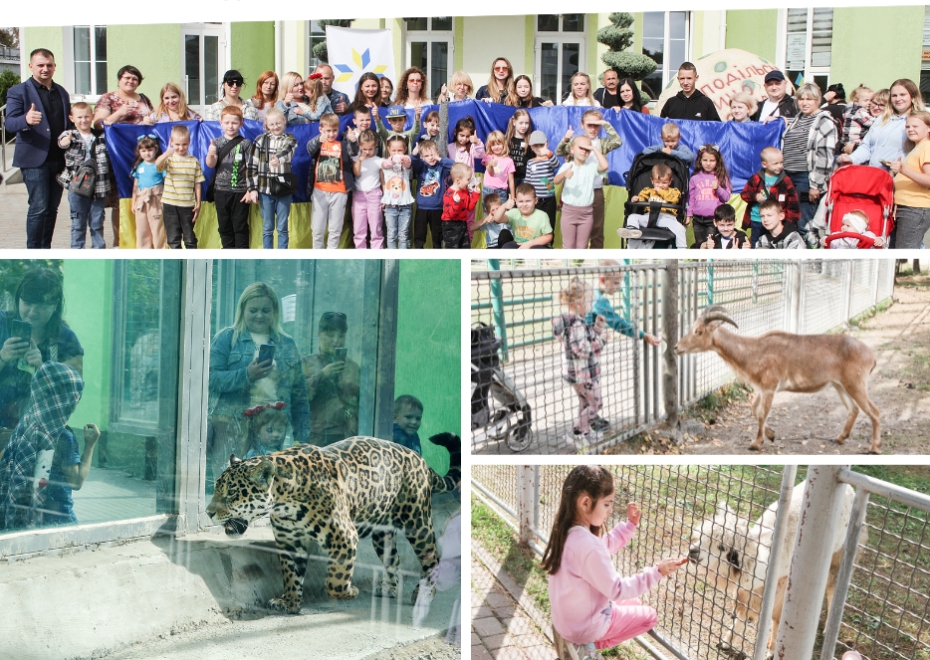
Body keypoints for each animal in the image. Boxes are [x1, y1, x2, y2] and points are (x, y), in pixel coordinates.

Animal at [676, 306, 876, 454]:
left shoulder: (769, 388)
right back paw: (840, 438)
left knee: (874, 412)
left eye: (699, 331)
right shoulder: (760, 389)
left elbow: (762, 414)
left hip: (855, 384)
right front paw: (771, 435)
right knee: (854, 410)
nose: (677, 347)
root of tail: (871, 356)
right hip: (840, 386)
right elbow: (754, 410)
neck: (754, 351)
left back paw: (874, 448)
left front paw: (756, 443)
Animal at [684, 482, 852, 656]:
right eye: (701, 535)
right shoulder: (754, 590)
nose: (693, 551)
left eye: (722, 547)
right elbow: (745, 611)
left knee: (833, 586)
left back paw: (828, 630)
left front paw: (772, 651)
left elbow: (778, 618)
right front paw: (726, 641)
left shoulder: (785, 584)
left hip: (839, 552)